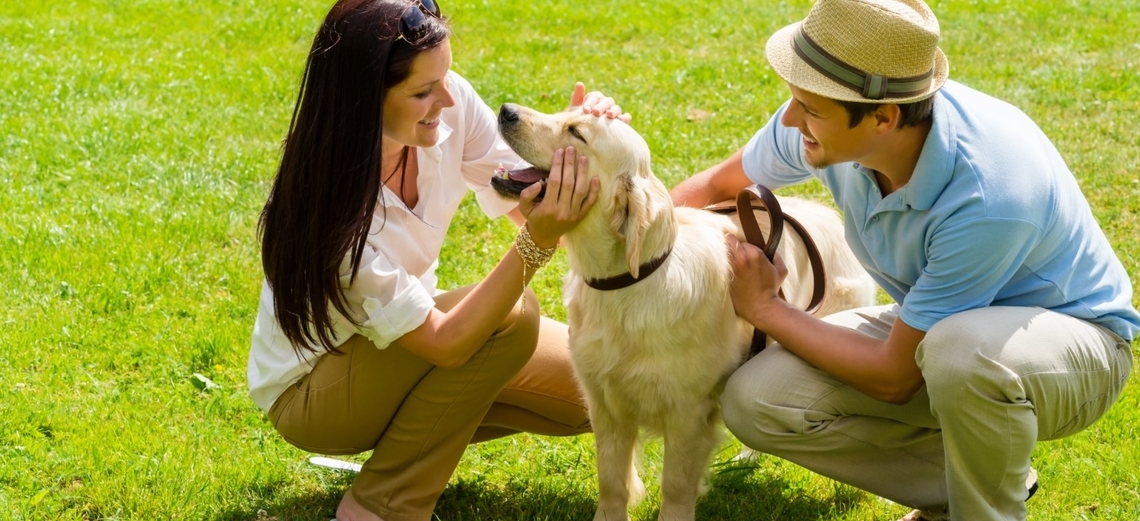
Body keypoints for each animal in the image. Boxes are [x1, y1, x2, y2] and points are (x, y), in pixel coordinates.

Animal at [490, 102, 870, 519]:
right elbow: (612, 483)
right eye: (566, 113)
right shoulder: (604, 405)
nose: (506, 110)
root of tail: (826, 214)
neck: (628, 284)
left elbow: (674, 486)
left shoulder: (688, 413)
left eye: (576, 132)